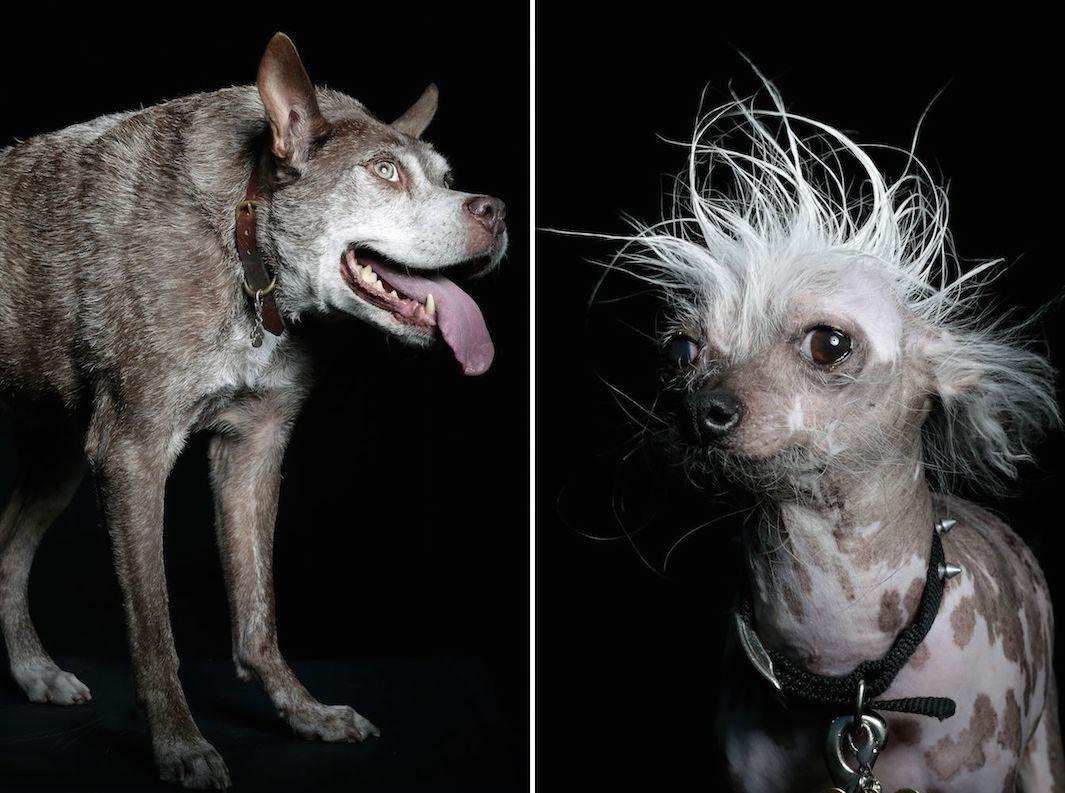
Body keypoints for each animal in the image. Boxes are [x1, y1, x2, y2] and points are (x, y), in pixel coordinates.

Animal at [0, 29, 504, 787]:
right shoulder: (133, 453)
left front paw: (304, 712)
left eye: (446, 177)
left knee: (7, 548)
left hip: (58, 459)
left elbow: (257, 614)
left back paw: (33, 671)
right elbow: (153, 628)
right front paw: (178, 743)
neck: (243, 246)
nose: (496, 211)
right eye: (385, 171)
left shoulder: (254, 449)